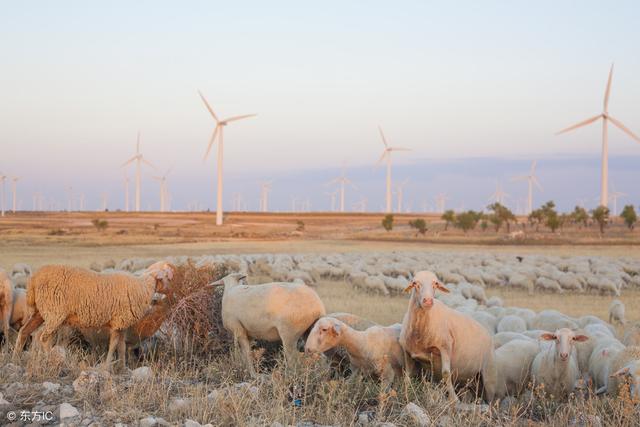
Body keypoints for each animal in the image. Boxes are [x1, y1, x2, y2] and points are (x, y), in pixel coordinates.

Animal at [13, 260, 176, 372]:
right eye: (166, 277)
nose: (171, 291)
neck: (143, 287)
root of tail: (34, 279)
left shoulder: (121, 324)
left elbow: (121, 346)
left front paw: (123, 368)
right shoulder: (118, 322)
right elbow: (113, 345)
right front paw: (107, 366)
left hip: (40, 313)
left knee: (25, 332)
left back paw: (17, 359)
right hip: (54, 313)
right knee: (43, 337)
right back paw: (51, 361)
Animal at [398, 272, 498, 402]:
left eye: (435, 283)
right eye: (415, 283)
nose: (428, 301)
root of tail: (487, 333)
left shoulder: (445, 346)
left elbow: (446, 373)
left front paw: (453, 399)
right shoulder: (408, 352)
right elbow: (407, 374)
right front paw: (405, 395)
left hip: (489, 375)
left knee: (491, 398)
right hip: (473, 379)